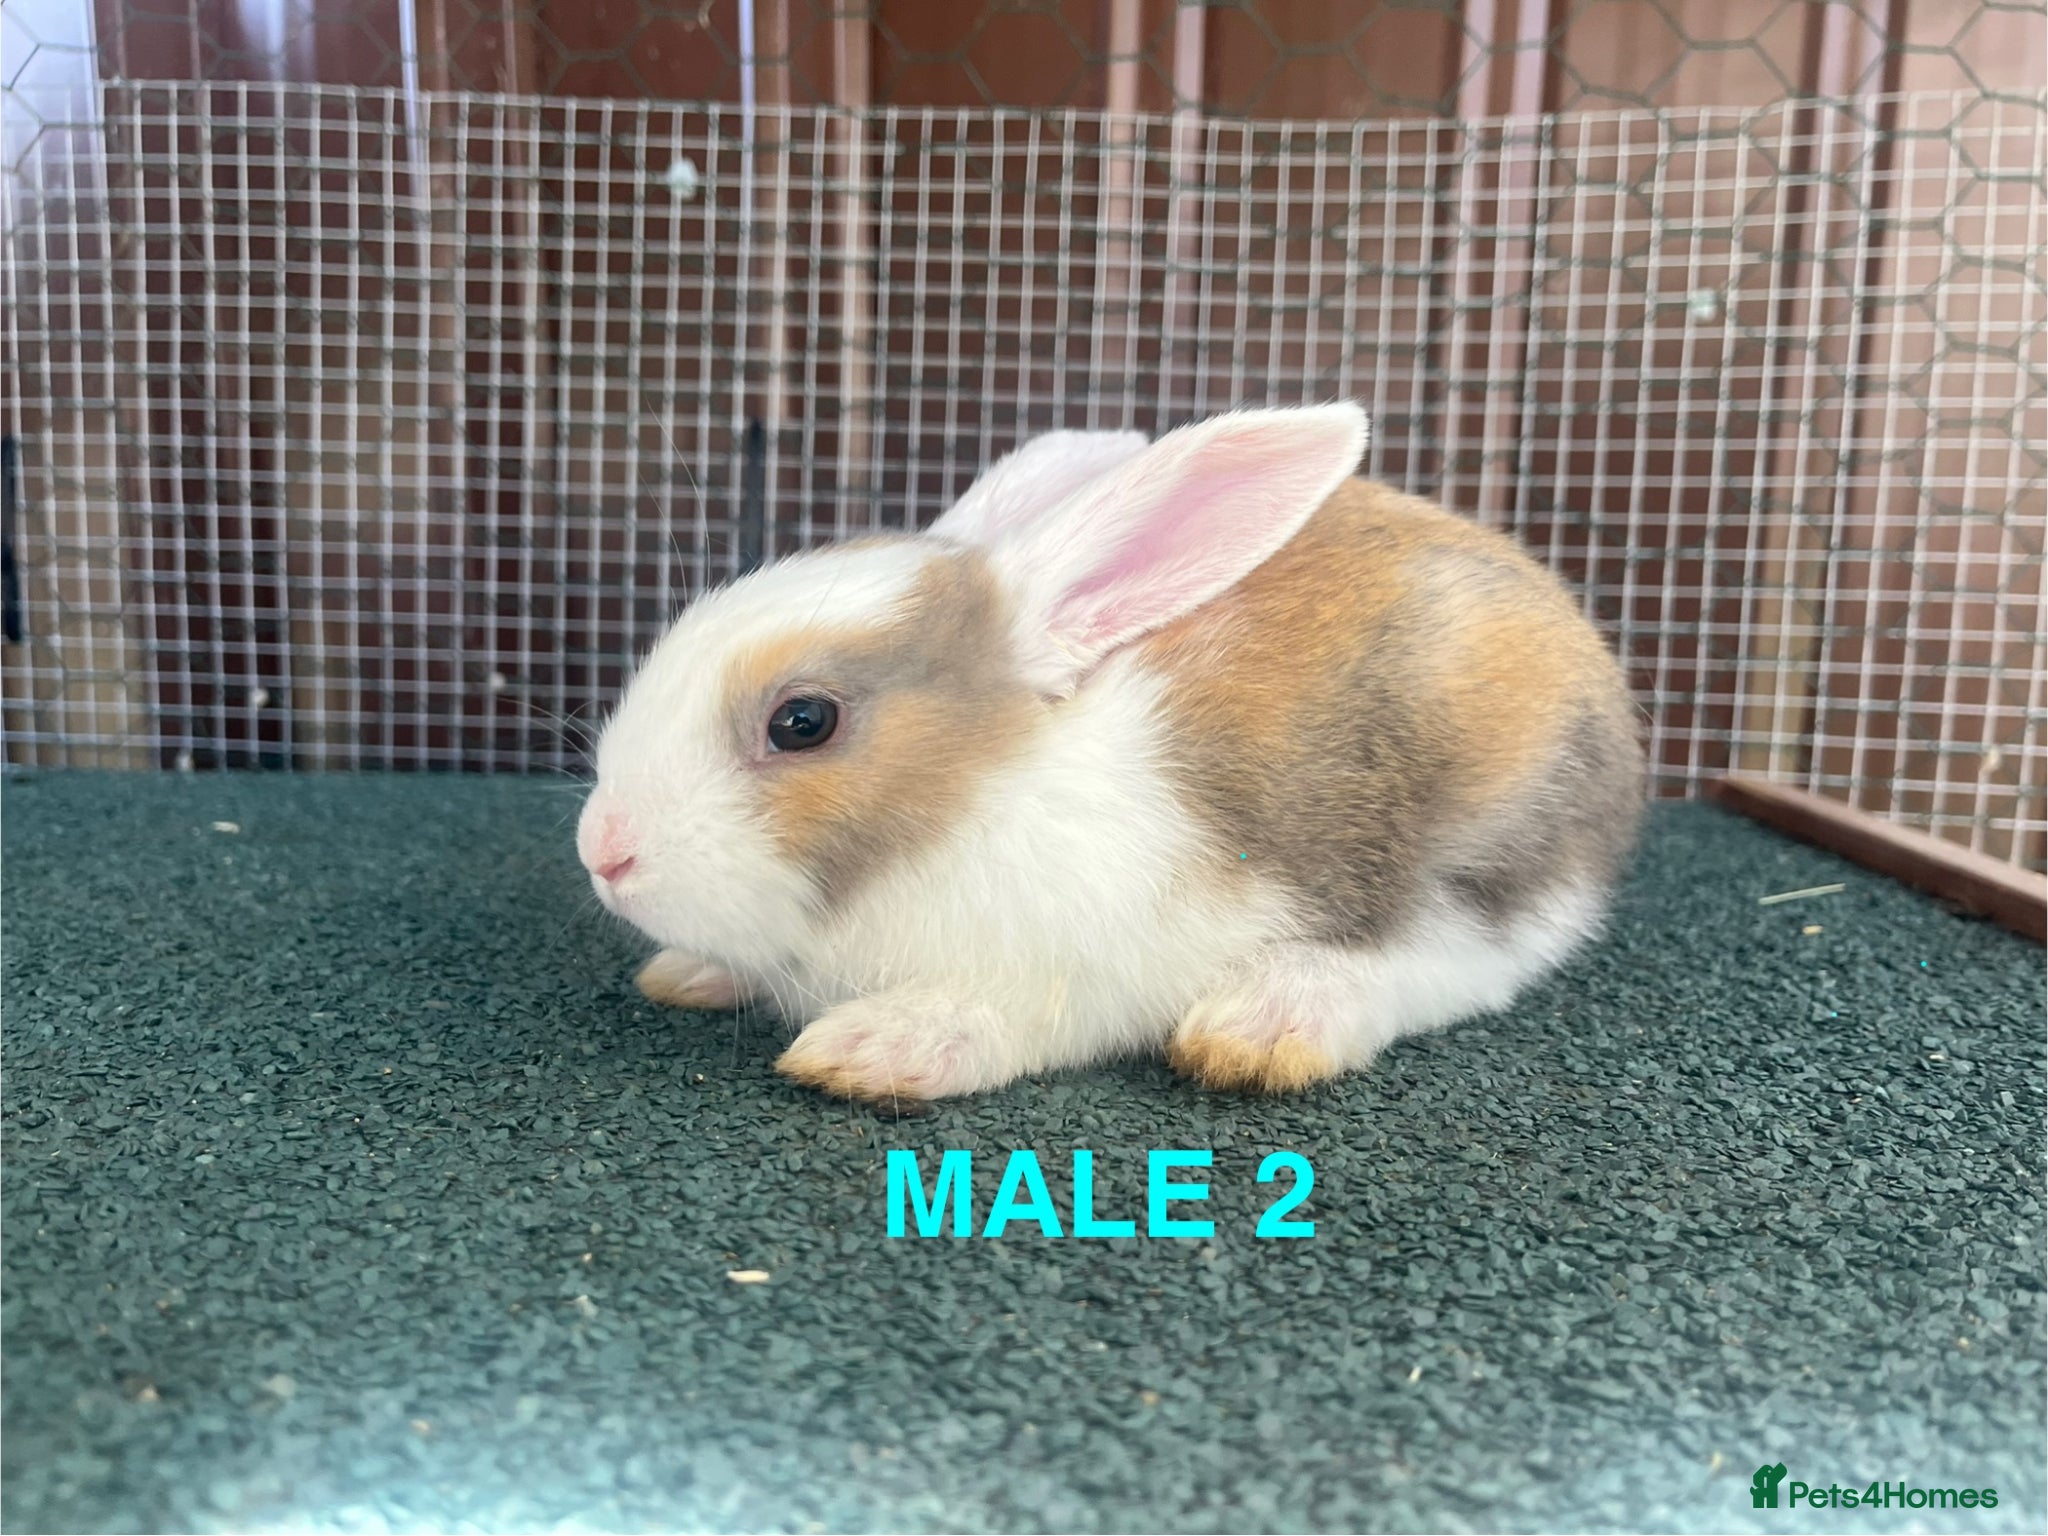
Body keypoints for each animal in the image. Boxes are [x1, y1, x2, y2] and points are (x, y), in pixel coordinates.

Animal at [577, 403, 1644, 1102]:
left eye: (802, 722)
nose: (603, 853)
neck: (982, 796)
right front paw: (694, 970)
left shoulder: (1072, 970)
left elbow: (1000, 1016)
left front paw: (879, 1046)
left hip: (1473, 846)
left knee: (1457, 960)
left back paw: (1270, 1020)